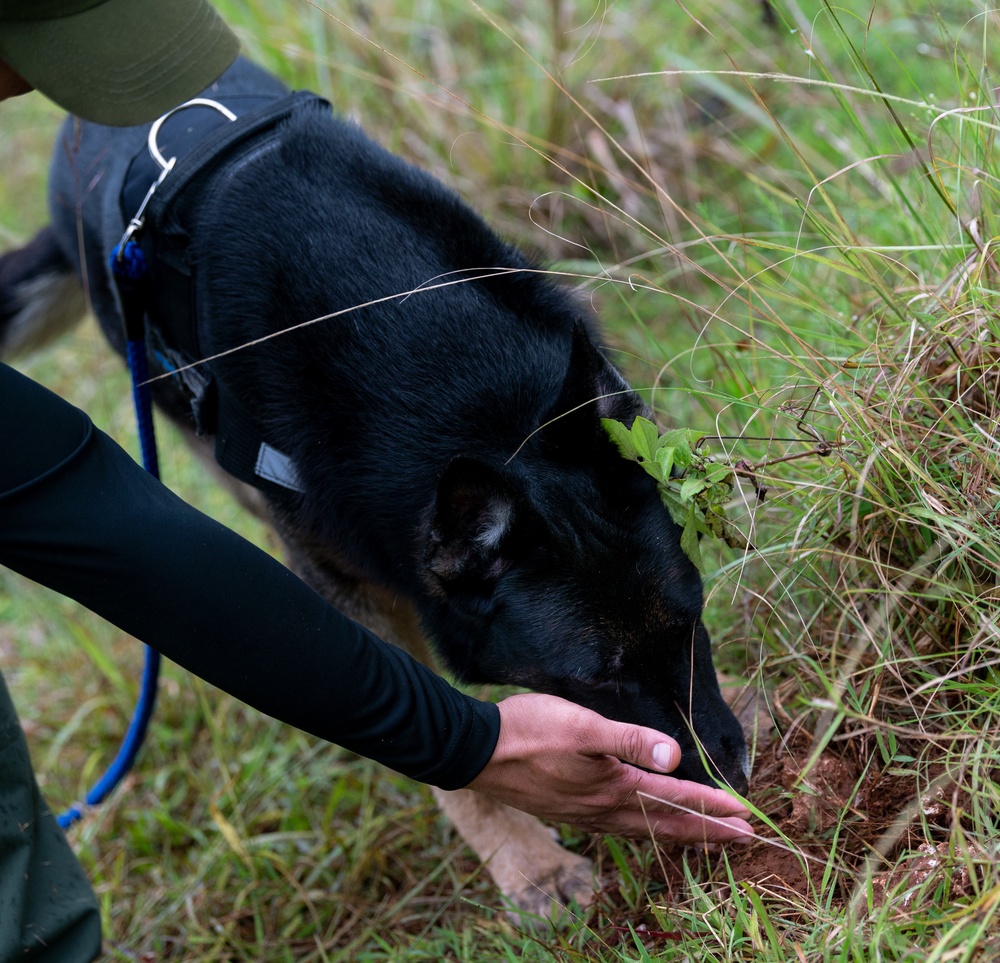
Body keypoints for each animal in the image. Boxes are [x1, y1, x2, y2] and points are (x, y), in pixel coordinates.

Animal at [1, 56, 752, 916]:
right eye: (597, 679)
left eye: (691, 618)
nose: (734, 782)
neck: (452, 385)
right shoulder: (337, 570)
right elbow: (436, 740)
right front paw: (530, 863)